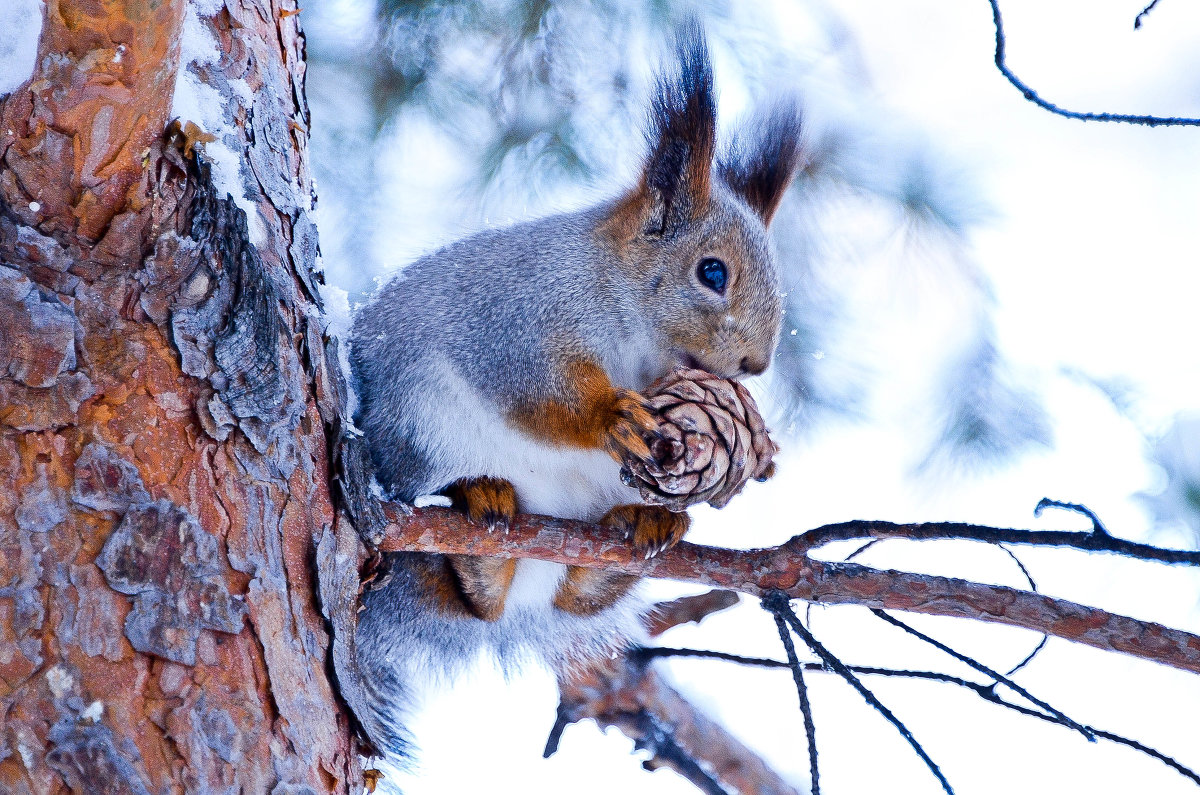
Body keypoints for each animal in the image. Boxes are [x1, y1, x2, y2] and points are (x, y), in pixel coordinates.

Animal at [350, 23, 801, 768]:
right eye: (712, 273)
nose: (755, 364)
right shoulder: (518, 322)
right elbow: (535, 389)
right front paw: (609, 415)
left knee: (572, 603)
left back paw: (641, 528)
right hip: (421, 429)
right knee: (471, 583)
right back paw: (483, 515)